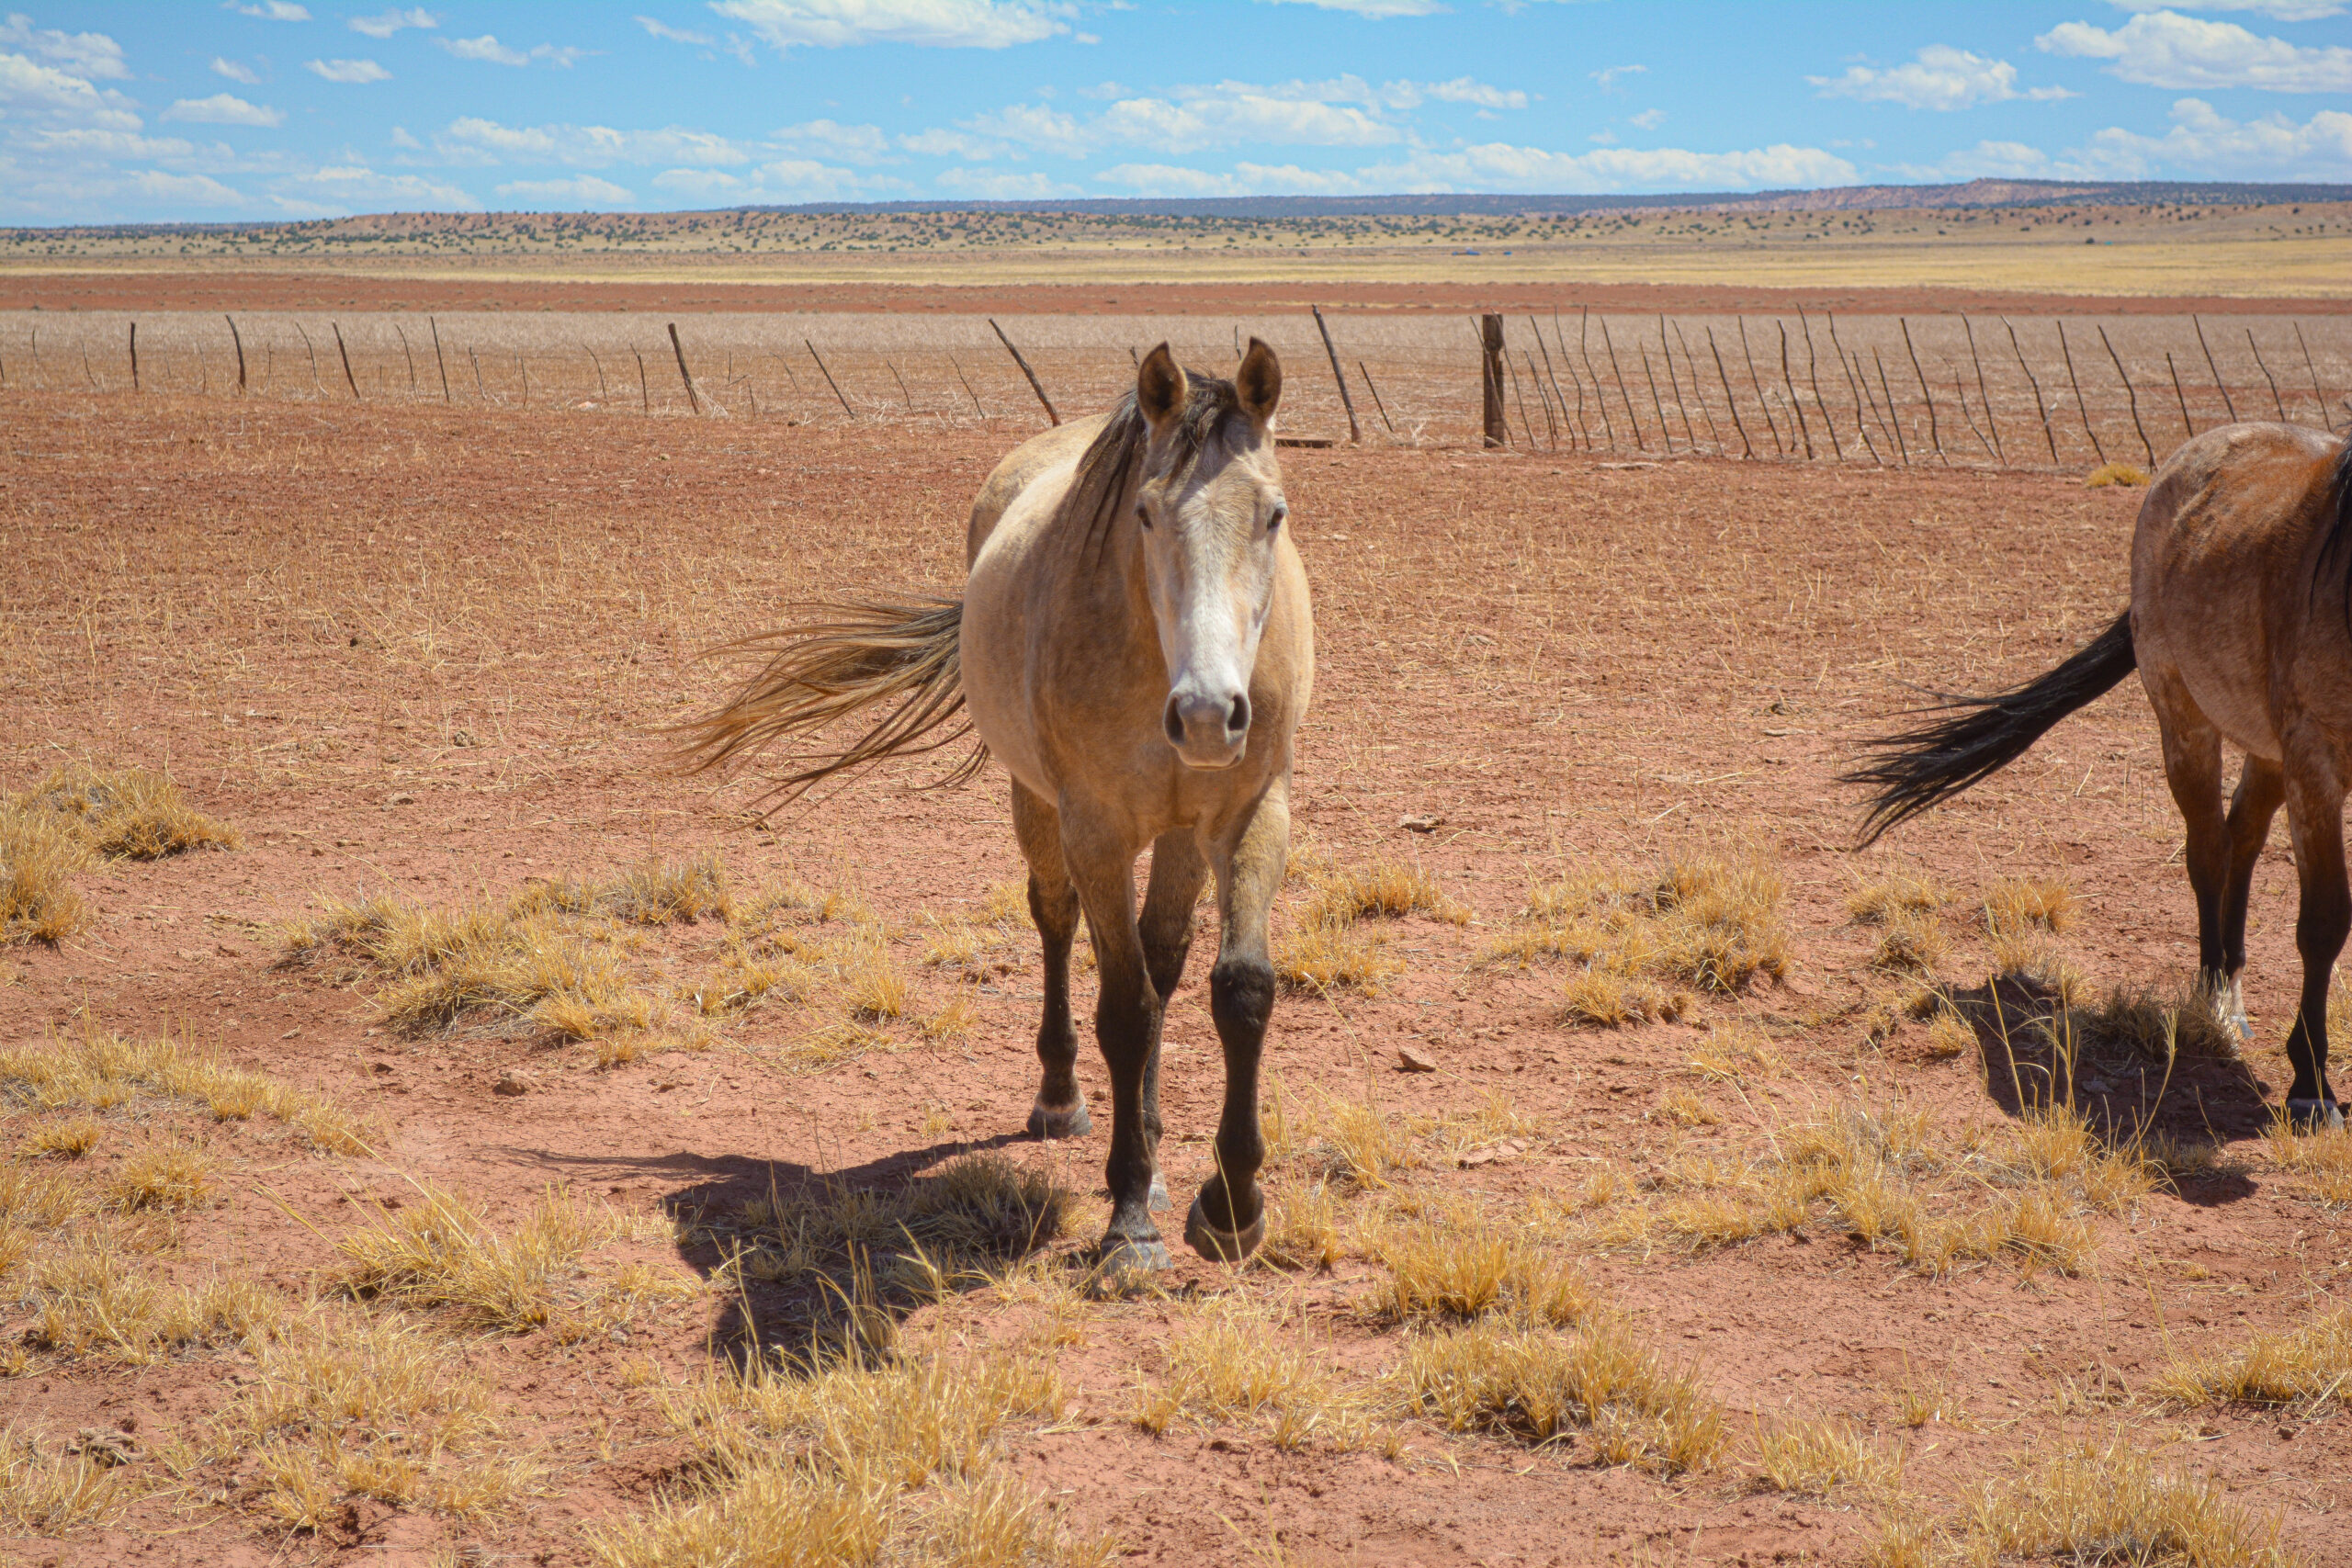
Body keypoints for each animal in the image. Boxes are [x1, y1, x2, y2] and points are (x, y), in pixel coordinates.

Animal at [679, 341, 1311, 1269]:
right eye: (1146, 514)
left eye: (1273, 515)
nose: (1206, 714)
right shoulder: (1095, 828)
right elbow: (1123, 1010)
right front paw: (1129, 1223)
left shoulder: (1247, 812)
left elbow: (1240, 990)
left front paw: (1230, 1204)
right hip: (1037, 802)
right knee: (1058, 921)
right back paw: (1062, 1099)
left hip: (1178, 836)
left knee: (1163, 958)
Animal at [1847, 423, 2352, 1132]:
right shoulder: (2316, 763)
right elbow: (2326, 921)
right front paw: (2311, 1088)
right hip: (2186, 719)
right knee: (2211, 849)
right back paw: (2214, 999)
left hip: (2265, 747)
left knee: (2242, 836)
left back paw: (2229, 993)